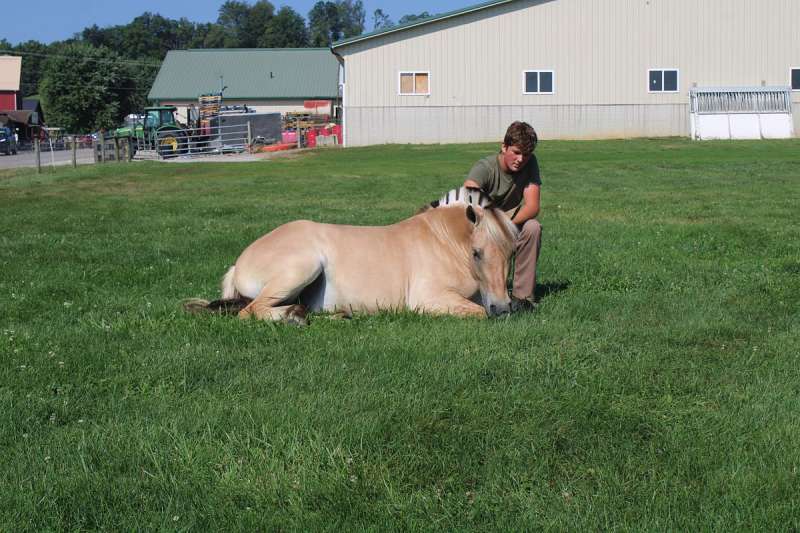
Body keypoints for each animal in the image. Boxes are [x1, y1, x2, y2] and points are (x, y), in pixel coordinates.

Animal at [184, 187, 519, 324]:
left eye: (511, 252)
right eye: (477, 252)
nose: (502, 308)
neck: (442, 241)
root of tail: (239, 263)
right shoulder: (429, 300)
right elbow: (478, 313)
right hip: (300, 269)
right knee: (251, 311)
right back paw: (293, 317)